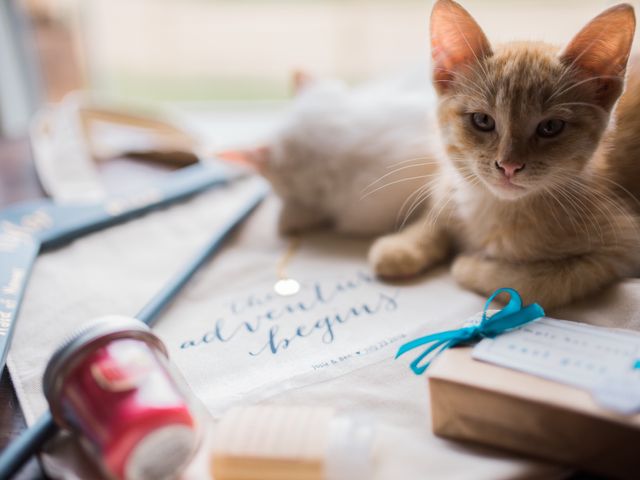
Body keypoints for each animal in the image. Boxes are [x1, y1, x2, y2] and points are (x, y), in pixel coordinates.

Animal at [368, 1, 640, 310]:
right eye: (483, 120)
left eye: (550, 127)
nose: (509, 165)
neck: (493, 207)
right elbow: (439, 208)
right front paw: (401, 246)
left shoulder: (622, 246)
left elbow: (538, 284)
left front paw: (468, 265)